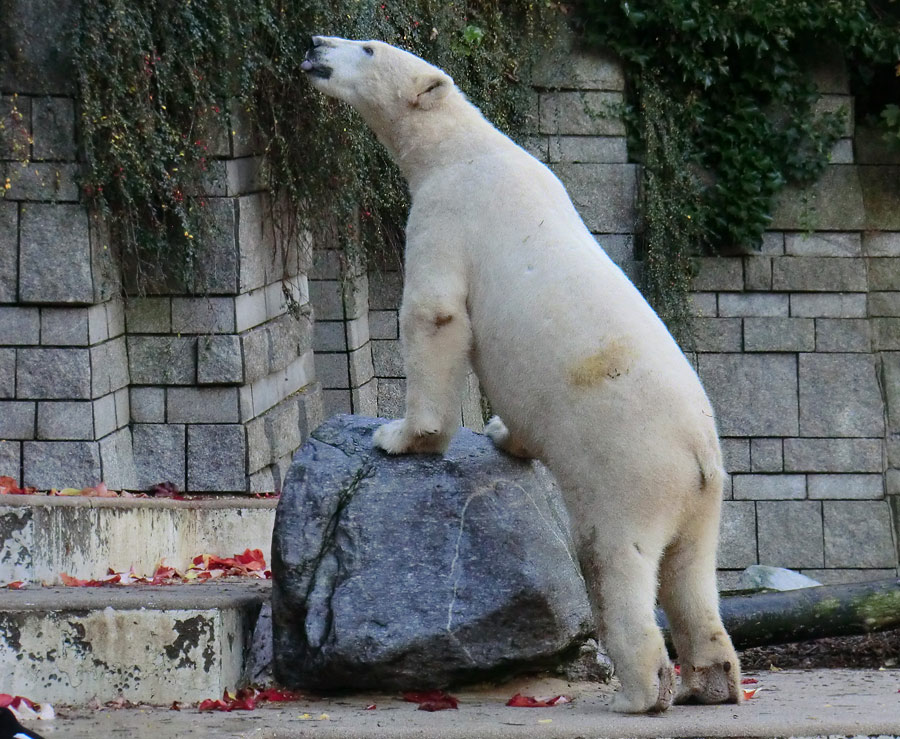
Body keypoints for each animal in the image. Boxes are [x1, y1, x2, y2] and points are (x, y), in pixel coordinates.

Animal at [302, 37, 740, 712]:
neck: (466, 146)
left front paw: (399, 437)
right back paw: (712, 680)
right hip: (702, 500)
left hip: (628, 471)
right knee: (690, 573)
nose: (315, 44)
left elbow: (435, 315)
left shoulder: (448, 212)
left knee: (615, 560)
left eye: (369, 48)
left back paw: (640, 691)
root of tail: (697, 457)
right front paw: (501, 434)